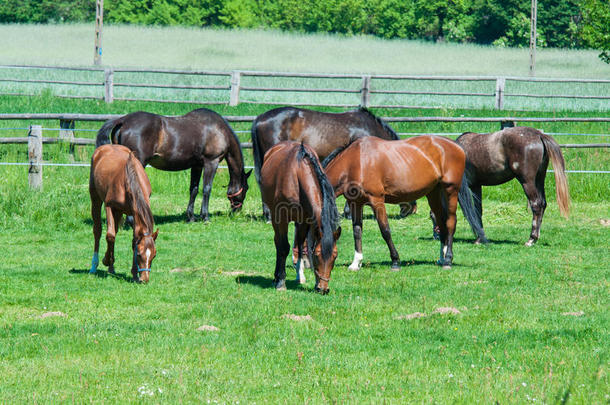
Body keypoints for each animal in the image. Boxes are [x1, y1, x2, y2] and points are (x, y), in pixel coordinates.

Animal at [89, 144, 159, 282]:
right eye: (139, 255)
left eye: (154, 255)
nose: (145, 279)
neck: (128, 180)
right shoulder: (109, 206)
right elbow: (110, 235)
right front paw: (106, 260)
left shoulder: (134, 212)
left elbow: (134, 240)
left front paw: (134, 273)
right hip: (96, 200)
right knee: (98, 231)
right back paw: (94, 266)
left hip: (119, 212)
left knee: (114, 230)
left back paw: (111, 268)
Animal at [97, 107, 252, 221]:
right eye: (246, 188)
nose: (237, 210)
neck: (218, 130)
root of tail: (123, 120)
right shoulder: (211, 162)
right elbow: (206, 189)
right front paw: (205, 217)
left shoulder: (197, 166)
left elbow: (194, 189)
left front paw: (191, 217)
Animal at [258, 140, 340, 292]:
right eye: (317, 255)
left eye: (335, 256)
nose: (323, 288)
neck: (297, 174)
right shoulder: (282, 218)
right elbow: (284, 247)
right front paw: (281, 282)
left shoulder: (306, 221)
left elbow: (303, 247)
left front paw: (305, 277)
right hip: (275, 216)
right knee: (278, 243)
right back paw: (276, 278)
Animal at [320, 136, 478, 272]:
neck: (356, 162)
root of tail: (456, 145)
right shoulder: (356, 203)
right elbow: (357, 231)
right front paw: (356, 263)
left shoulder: (377, 200)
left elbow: (385, 231)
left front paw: (395, 261)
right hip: (433, 193)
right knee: (441, 222)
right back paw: (442, 258)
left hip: (451, 190)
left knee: (451, 222)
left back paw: (448, 260)